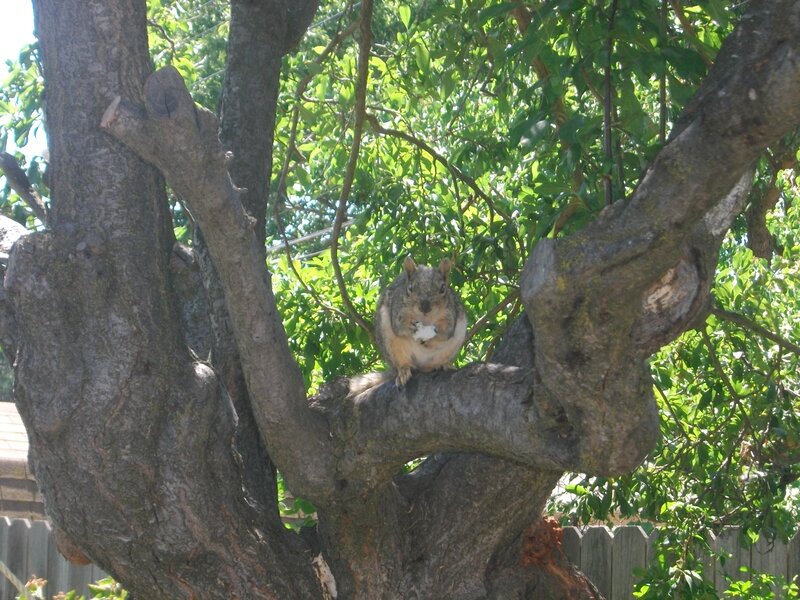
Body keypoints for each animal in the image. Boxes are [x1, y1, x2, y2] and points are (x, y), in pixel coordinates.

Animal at [373, 256, 467, 388]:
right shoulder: (398, 309)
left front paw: (434, 333)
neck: (425, 319)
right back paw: (403, 371)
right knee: (402, 363)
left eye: (443, 288)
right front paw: (411, 328)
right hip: (389, 344)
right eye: (410, 288)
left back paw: (444, 364)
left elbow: (447, 332)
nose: (425, 307)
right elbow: (399, 326)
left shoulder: (450, 313)